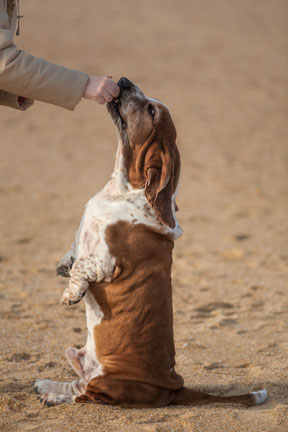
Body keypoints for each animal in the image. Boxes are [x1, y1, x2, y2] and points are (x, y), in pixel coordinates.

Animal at [34, 77, 268, 408]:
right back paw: (46, 386)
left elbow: (83, 267)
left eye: (151, 110)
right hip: (77, 355)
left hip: (107, 383)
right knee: (78, 385)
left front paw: (70, 293)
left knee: (86, 396)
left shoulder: (106, 261)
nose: (122, 80)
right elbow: (75, 249)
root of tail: (173, 388)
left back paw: (53, 396)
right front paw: (63, 264)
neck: (124, 188)